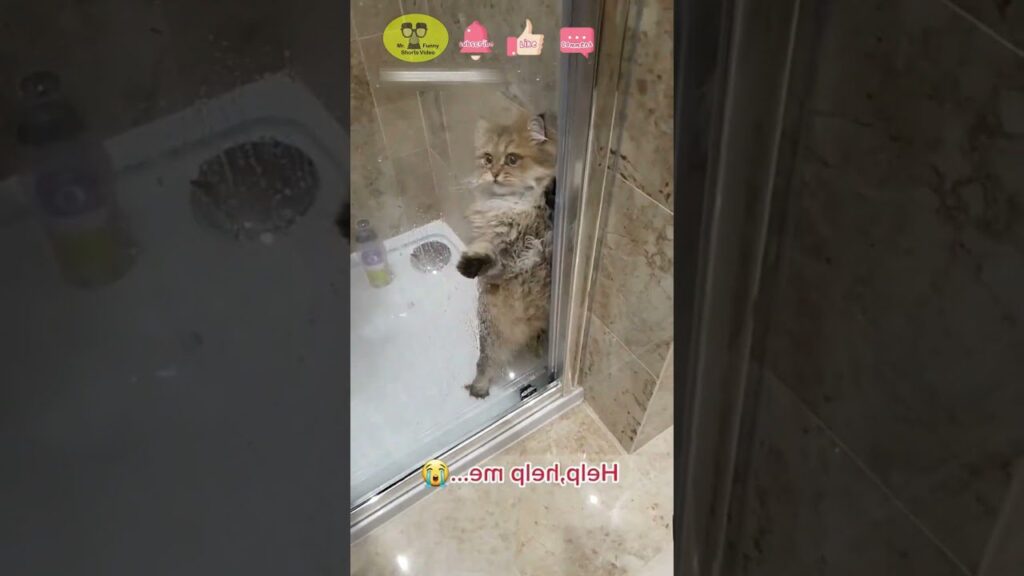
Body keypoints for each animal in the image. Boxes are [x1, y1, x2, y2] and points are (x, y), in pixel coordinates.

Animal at [456, 112, 557, 399]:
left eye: (512, 158)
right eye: (488, 158)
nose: (494, 174)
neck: (511, 208)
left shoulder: (546, 239)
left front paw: (549, 190)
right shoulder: (501, 257)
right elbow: (486, 256)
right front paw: (467, 265)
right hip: (492, 338)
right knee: (485, 366)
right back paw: (479, 389)